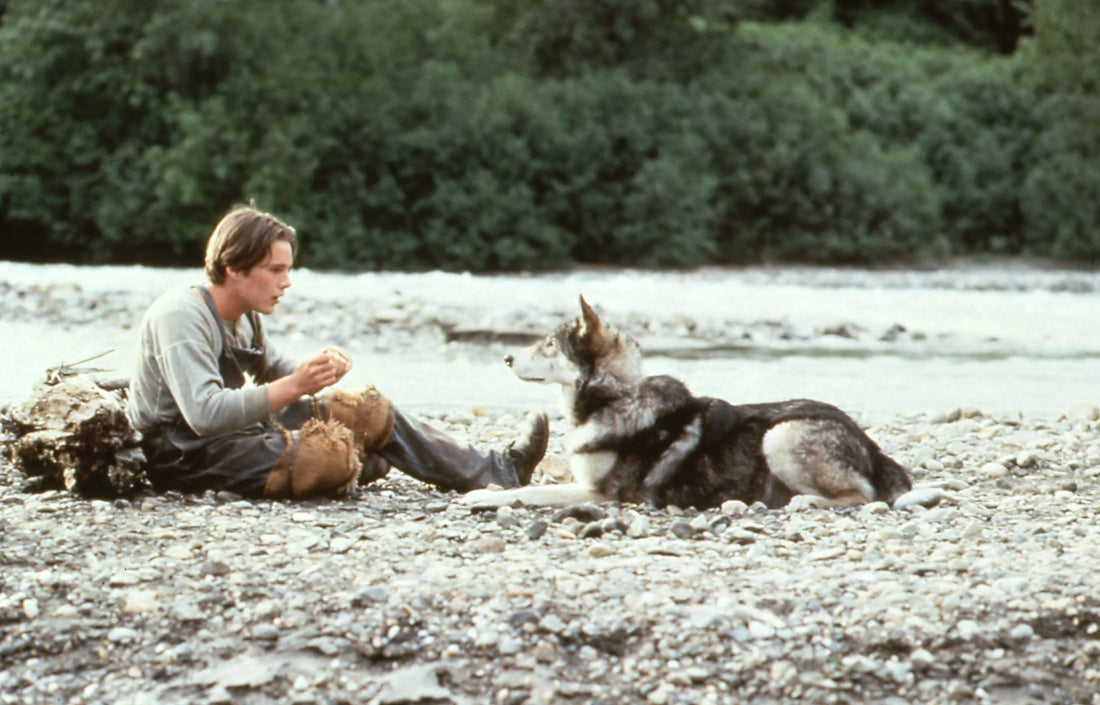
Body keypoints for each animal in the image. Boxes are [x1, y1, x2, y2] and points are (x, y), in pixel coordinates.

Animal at [459, 294, 915, 508]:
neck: (614, 398)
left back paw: (807, 501)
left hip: (781, 436)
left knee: (864, 494)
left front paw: (482, 496)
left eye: (550, 344)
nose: (506, 358)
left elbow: (531, 494)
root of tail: (870, 444)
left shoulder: (603, 494)